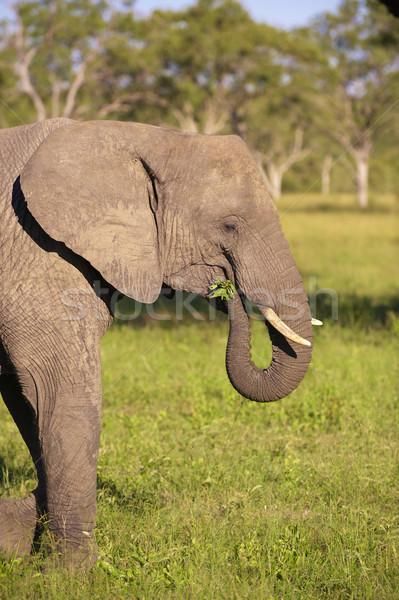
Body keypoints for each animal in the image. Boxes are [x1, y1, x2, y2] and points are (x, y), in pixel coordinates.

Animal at [0, 118, 314, 568]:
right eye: (229, 226)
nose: (224, 289)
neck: (138, 137)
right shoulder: (36, 252)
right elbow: (60, 386)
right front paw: (69, 571)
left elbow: (28, 397)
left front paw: (28, 537)